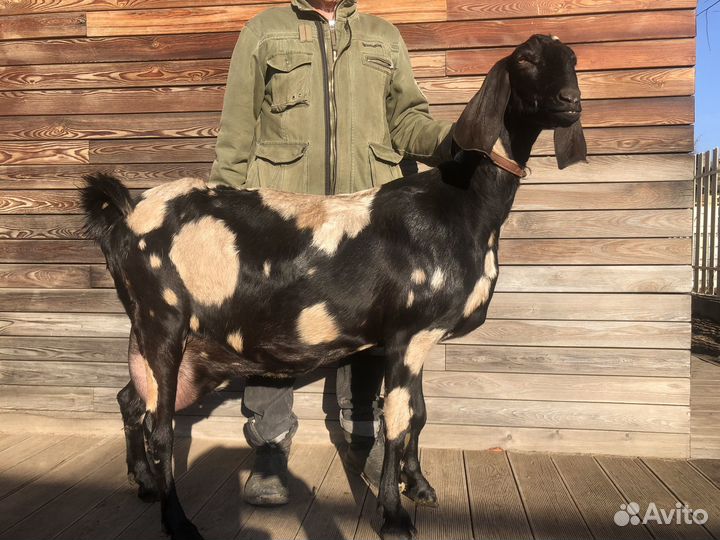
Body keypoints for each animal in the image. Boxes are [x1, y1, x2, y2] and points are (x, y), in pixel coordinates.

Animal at [81, 34, 586, 540]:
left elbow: (418, 414)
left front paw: (419, 486)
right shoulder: (407, 334)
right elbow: (397, 421)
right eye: (525, 59)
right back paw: (177, 520)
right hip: (161, 320)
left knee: (131, 400)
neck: (460, 204)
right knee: (160, 424)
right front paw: (395, 518)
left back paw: (145, 483)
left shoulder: (414, 337)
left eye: (573, 60)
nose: (571, 102)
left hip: (182, 347)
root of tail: (124, 213)